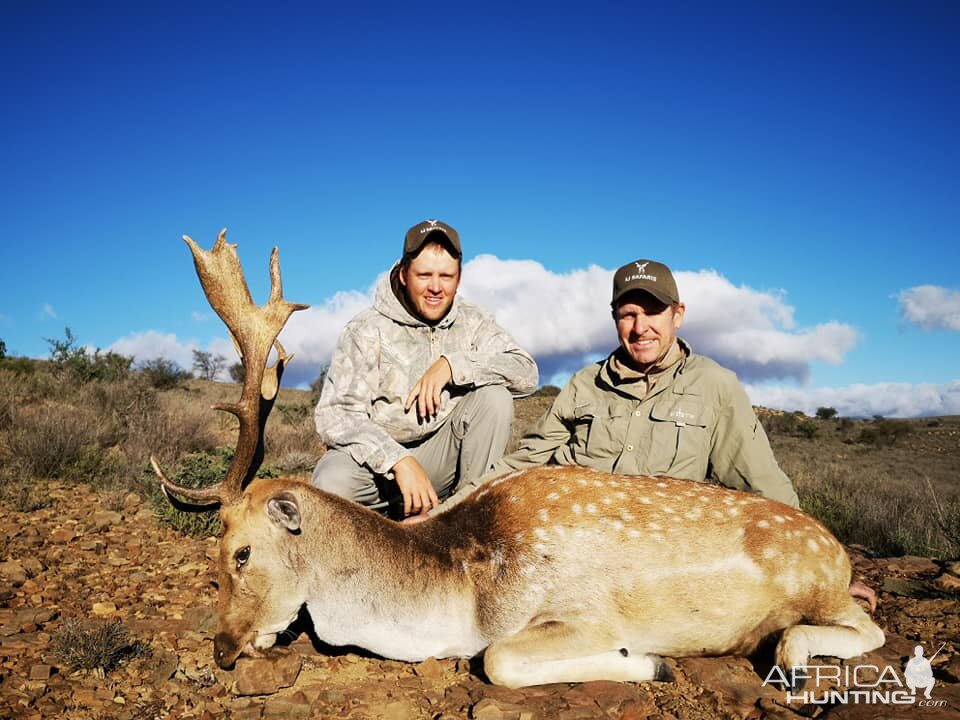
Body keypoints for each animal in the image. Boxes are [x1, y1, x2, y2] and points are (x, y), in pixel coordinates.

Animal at [152, 233, 884, 688]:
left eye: (241, 553)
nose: (222, 649)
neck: (462, 590)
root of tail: (838, 550)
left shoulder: (580, 614)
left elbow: (498, 660)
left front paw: (652, 664)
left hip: (817, 588)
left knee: (865, 626)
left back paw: (792, 655)